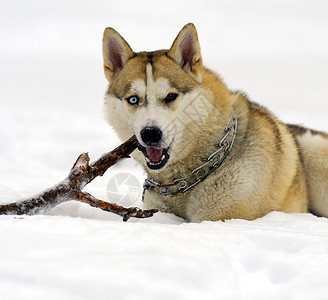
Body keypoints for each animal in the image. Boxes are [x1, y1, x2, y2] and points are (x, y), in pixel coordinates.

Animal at [102, 23, 328, 221]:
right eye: (133, 99)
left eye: (170, 96)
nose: (150, 133)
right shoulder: (156, 208)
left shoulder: (221, 214)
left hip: (314, 151)